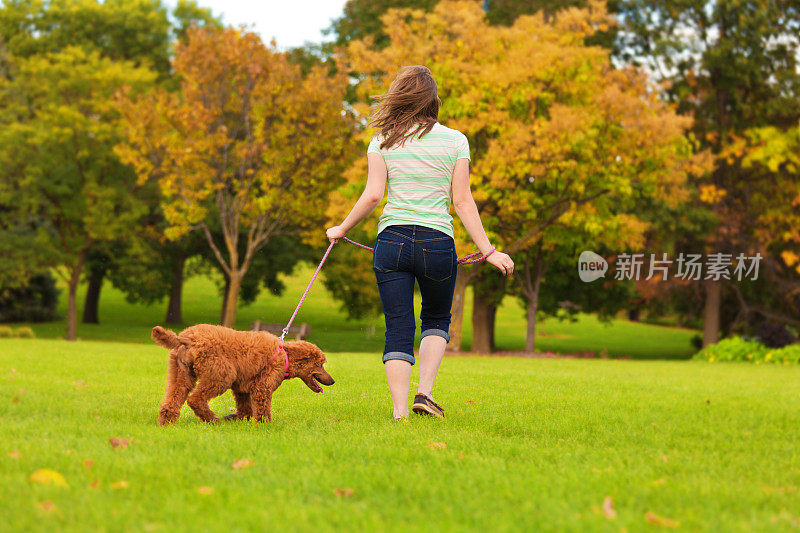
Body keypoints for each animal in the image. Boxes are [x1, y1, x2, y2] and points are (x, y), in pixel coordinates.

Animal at [152, 322, 332, 426]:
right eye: (320, 364)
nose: (333, 381)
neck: (284, 354)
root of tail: (187, 338)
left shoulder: (242, 388)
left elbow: (245, 410)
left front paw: (235, 419)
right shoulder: (262, 386)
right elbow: (262, 409)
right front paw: (265, 426)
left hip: (181, 374)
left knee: (173, 399)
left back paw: (167, 422)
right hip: (221, 375)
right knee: (195, 399)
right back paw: (212, 420)